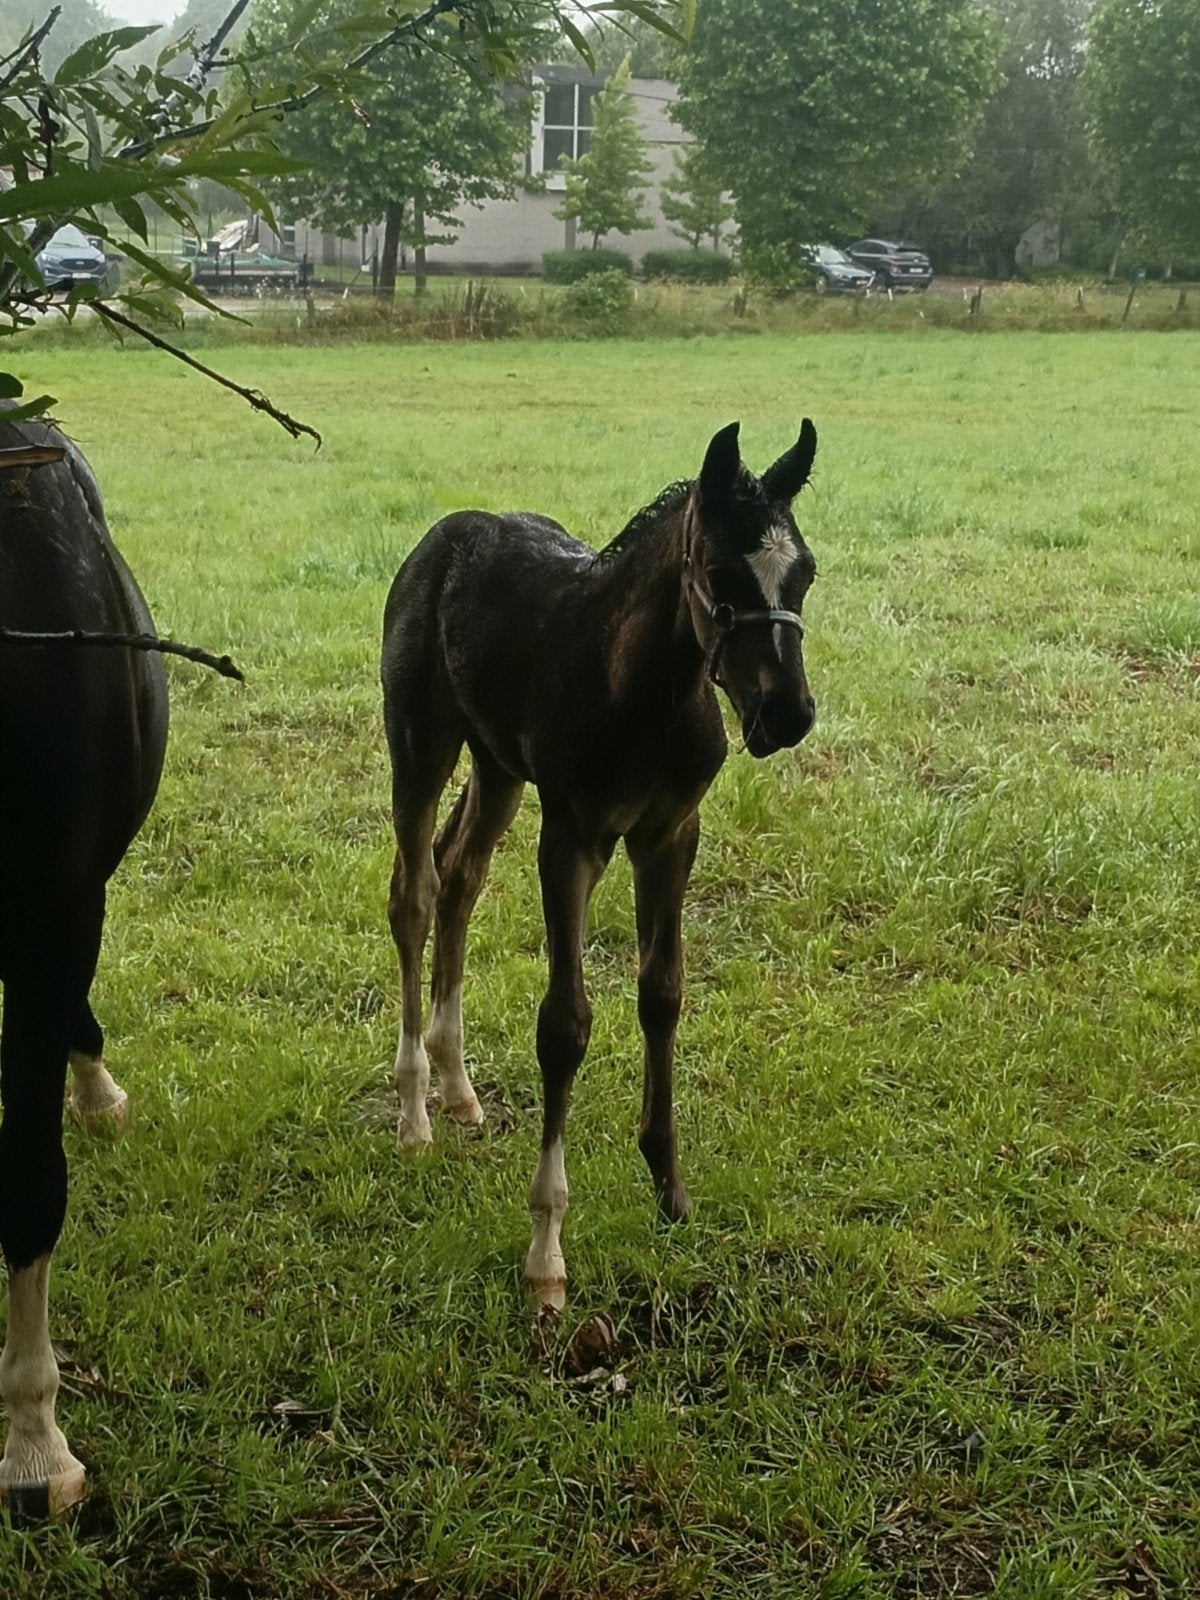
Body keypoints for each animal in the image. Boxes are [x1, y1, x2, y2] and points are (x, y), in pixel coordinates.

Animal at [381, 419, 818, 1308]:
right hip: (422, 742)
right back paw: (414, 1114)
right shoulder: (572, 837)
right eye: (720, 575)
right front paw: (546, 1250)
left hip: (499, 765)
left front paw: (668, 1183)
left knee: (459, 875)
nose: (788, 713)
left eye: (806, 573)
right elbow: (566, 1024)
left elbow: (663, 994)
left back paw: (457, 1086)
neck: (649, 691)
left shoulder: (672, 834)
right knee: (414, 893)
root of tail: (445, 534)